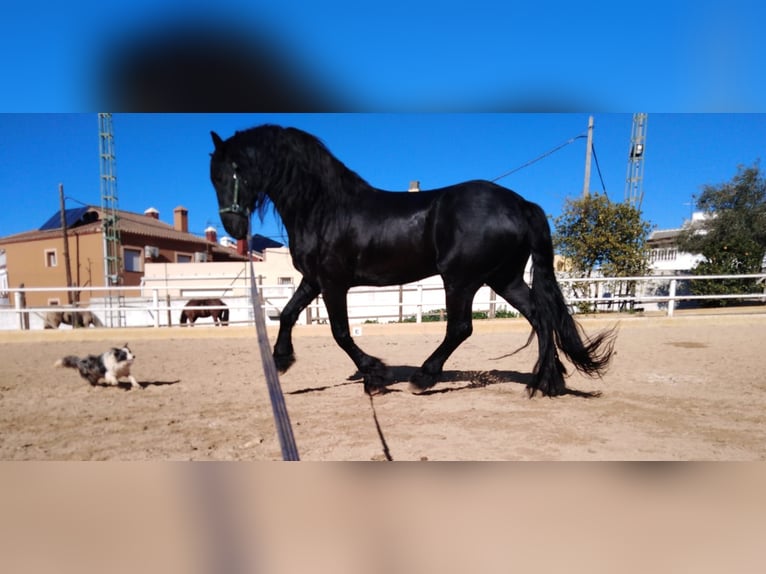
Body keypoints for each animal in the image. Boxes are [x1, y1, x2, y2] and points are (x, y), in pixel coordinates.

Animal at [209, 125, 616, 397]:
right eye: (214, 176)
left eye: (234, 170)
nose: (233, 226)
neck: (324, 208)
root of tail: (518, 203)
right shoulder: (313, 281)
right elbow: (289, 314)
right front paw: (281, 360)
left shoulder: (333, 283)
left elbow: (340, 332)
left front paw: (375, 375)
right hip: (505, 279)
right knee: (540, 317)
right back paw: (547, 381)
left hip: (461, 279)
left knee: (460, 328)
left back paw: (424, 377)